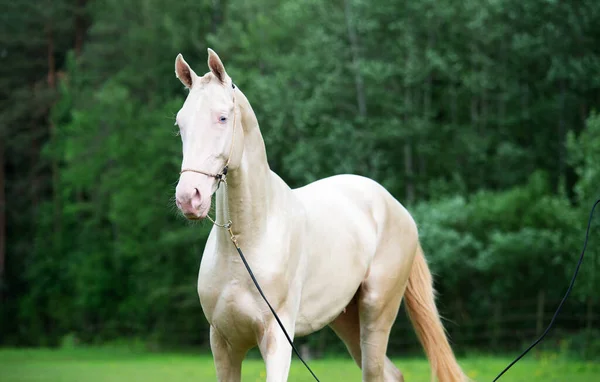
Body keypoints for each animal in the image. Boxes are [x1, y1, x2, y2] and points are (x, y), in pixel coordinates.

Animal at [173, 48, 468, 382]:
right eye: (180, 124)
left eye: (222, 117)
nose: (189, 198)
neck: (247, 243)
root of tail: (395, 207)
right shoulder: (223, 344)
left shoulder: (277, 340)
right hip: (345, 319)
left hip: (376, 314)